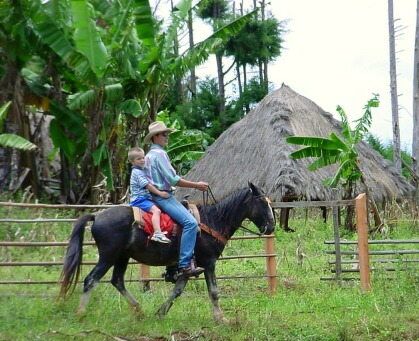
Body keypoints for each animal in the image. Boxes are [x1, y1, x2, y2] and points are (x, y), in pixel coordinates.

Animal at [59, 181, 276, 322]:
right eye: (262, 202)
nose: (271, 227)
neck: (213, 220)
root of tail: (96, 216)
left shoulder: (188, 267)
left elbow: (177, 290)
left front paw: (161, 312)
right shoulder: (208, 262)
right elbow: (213, 292)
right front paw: (221, 319)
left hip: (122, 257)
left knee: (117, 281)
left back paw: (139, 311)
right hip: (108, 256)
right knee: (91, 279)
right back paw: (80, 313)